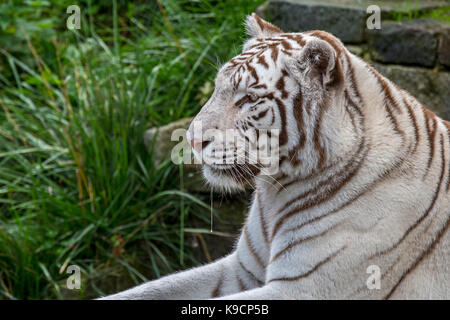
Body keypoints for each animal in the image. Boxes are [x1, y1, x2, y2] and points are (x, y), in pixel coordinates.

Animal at [102, 13, 450, 300]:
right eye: (217, 88)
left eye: (248, 100)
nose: (193, 139)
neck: (276, 193)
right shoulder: (242, 269)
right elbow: (148, 289)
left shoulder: (304, 289)